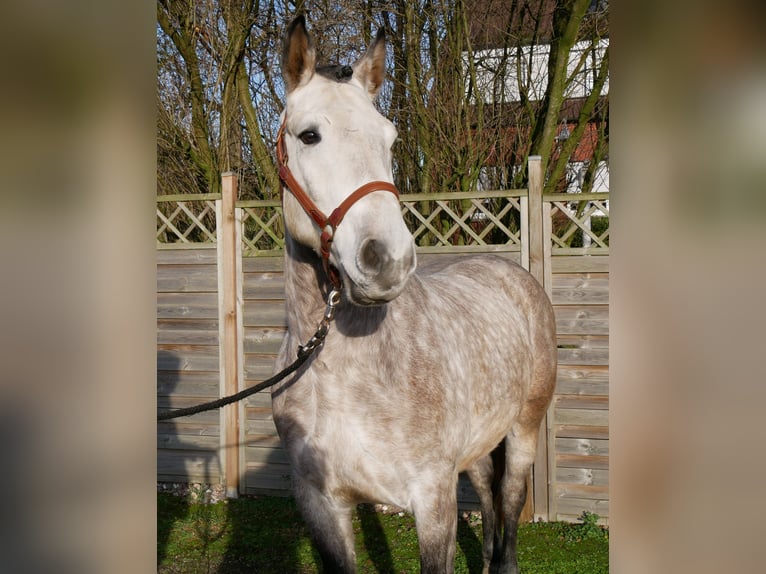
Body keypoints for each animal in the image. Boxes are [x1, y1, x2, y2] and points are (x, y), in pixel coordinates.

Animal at [271, 15, 557, 574]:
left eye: (390, 138)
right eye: (309, 135)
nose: (387, 260)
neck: (344, 375)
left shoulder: (432, 500)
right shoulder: (322, 506)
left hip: (523, 430)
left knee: (509, 504)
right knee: (487, 497)